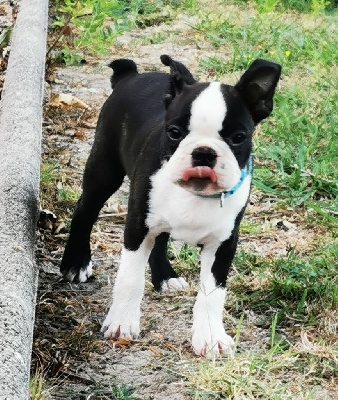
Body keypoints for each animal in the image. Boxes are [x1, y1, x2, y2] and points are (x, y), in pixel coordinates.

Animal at [60, 54, 280, 358]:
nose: (204, 153)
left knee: (161, 237)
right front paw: (122, 322)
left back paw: (165, 276)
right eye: (174, 132)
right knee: (85, 211)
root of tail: (131, 75)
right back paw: (75, 262)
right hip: (104, 169)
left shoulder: (223, 242)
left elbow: (213, 293)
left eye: (238, 137)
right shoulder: (137, 225)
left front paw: (210, 337)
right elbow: (130, 277)